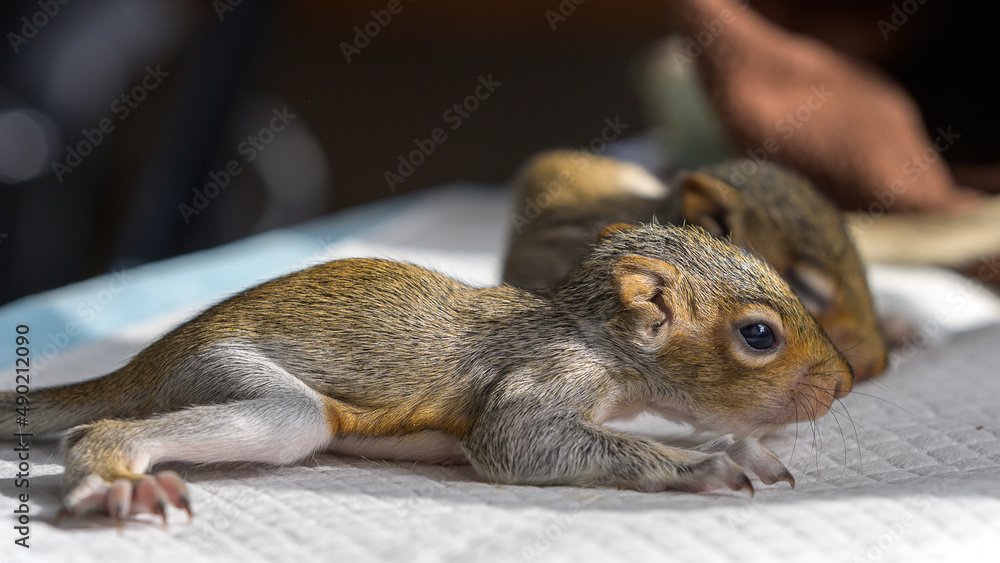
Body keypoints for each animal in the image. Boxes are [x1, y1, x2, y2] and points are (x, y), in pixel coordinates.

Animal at [0, 223, 852, 524]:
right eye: (758, 334)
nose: (844, 381)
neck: (590, 330)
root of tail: (151, 357)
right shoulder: (549, 371)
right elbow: (515, 437)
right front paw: (694, 464)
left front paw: (735, 446)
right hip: (234, 381)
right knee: (110, 426)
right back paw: (114, 473)